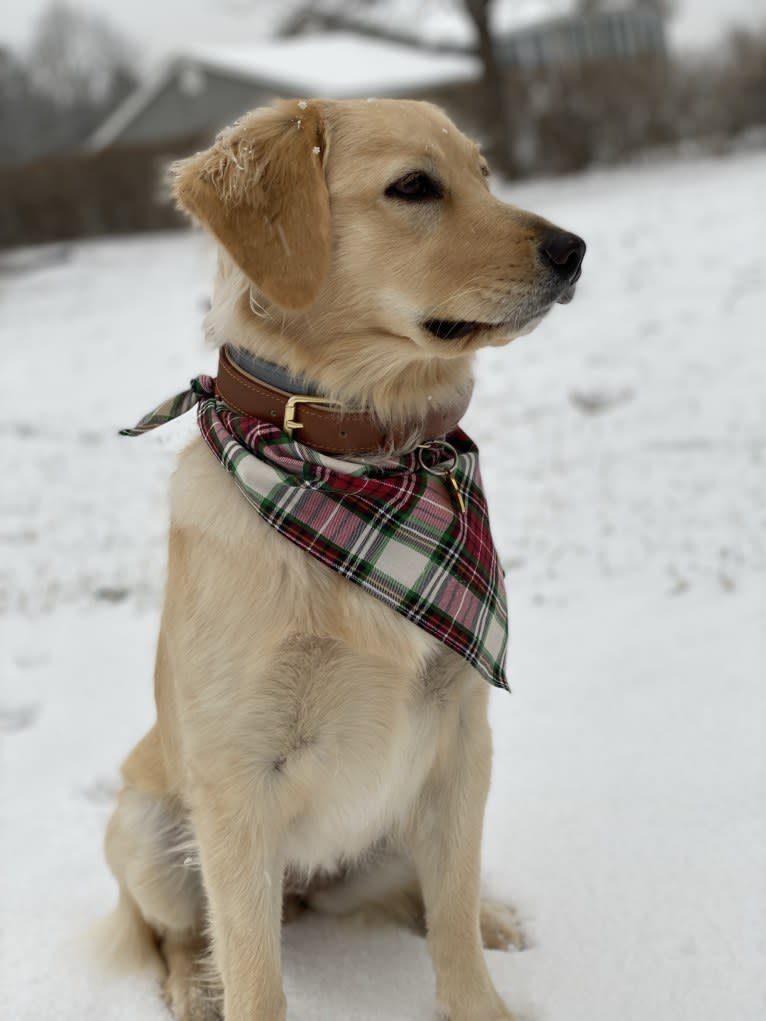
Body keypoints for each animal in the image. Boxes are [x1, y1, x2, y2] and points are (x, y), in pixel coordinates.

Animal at [103, 97, 588, 1021]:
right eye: (414, 187)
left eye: (482, 173)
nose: (574, 249)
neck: (359, 461)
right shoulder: (237, 784)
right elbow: (253, 974)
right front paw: (227, 989)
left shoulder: (460, 737)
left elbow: (452, 923)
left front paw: (482, 995)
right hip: (147, 828)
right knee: (176, 932)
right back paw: (190, 987)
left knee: (429, 897)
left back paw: (496, 916)